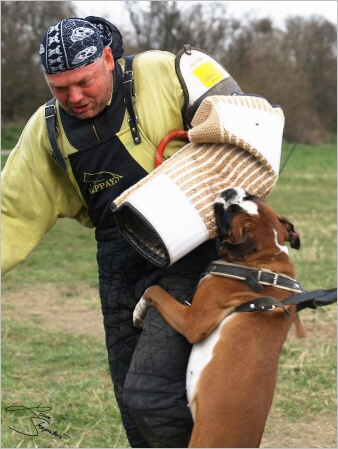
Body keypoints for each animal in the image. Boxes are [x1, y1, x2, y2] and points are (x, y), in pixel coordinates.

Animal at [134, 186, 304, 448]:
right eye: (251, 198)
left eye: (231, 211)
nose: (230, 191)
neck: (262, 265)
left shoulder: (193, 321)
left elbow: (154, 290)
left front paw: (139, 309)